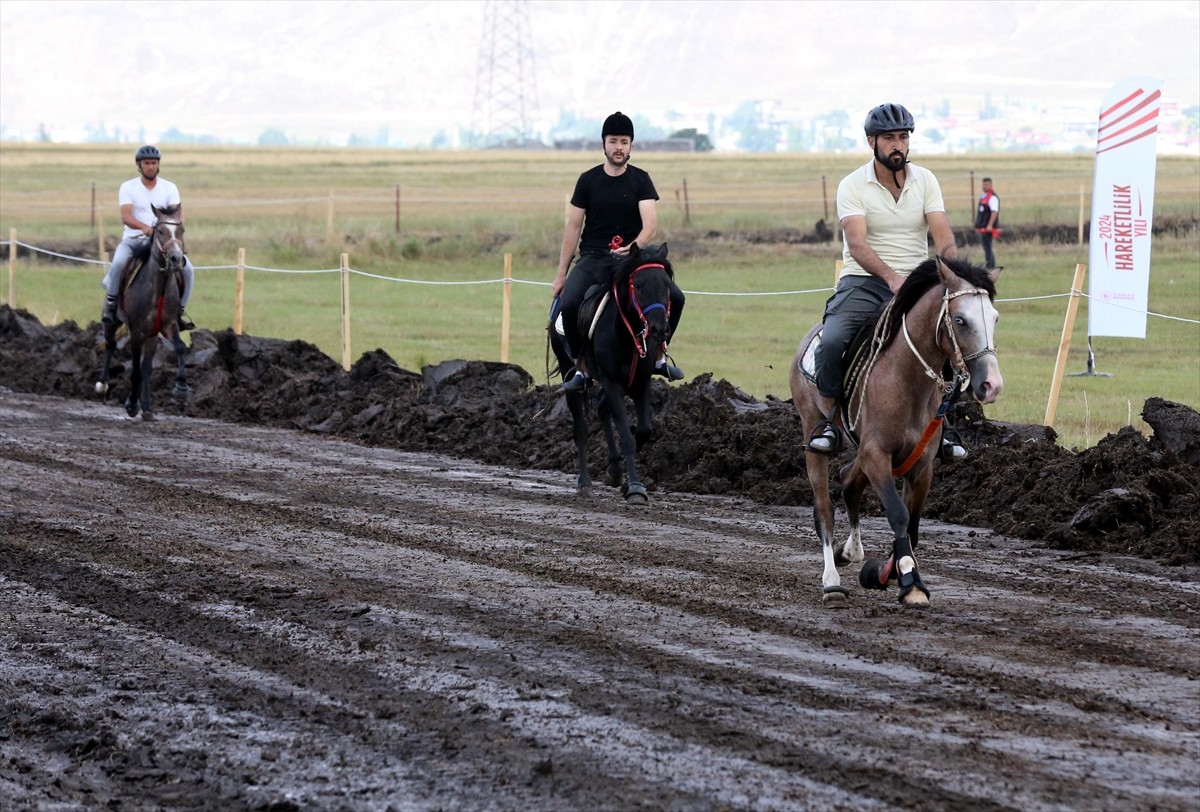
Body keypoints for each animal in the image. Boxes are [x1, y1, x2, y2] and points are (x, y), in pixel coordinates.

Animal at [96, 202, 189, 422]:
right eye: (161, 231)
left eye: (181, 230)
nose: (176, 259)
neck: (158, 288)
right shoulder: (137, 331)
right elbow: (135, 371)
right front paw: (131, 405)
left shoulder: (167, 326)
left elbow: (179, 348)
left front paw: (181, 389)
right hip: (112, 323)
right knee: (111, 345)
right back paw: (103, 384)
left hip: (152, 335)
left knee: (146, 367)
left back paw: (146, 408)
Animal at [549, 243, 681, 503]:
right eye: (638, 285)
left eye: (666, 285)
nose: (659, 329)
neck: (627, 335)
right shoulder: (611, 382)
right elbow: (627, 437)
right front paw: (636, 488)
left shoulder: (641, 382)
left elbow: (643, 431)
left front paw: (622, 474)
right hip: (570, 371)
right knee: (581, 428)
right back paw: (584, 483)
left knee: (602, 408)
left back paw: (615, 469)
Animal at [787, 256, 1003, 604]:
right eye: (960, 320)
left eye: (995, 318)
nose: (991, 384)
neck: (905, 379)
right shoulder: (876, 455)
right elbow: (898, 514)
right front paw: (909, 580)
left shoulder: (921, 466)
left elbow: (912, 526)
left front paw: (892, 571)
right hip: (812, 430)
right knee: (824, 508)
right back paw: (832, 580)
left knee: (849, 480)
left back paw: (850, 551)